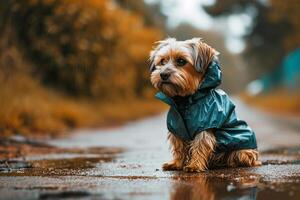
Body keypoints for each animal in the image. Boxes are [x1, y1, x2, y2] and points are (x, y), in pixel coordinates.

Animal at [149, 38, 262, 172]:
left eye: (181, 61)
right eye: (162, 61)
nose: (163, 74)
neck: (185, 101)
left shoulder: (205, 125)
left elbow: (200, 145)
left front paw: (194, 165)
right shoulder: (177, 128)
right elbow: (179, 147)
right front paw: (176, 164)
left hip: (243, 150)